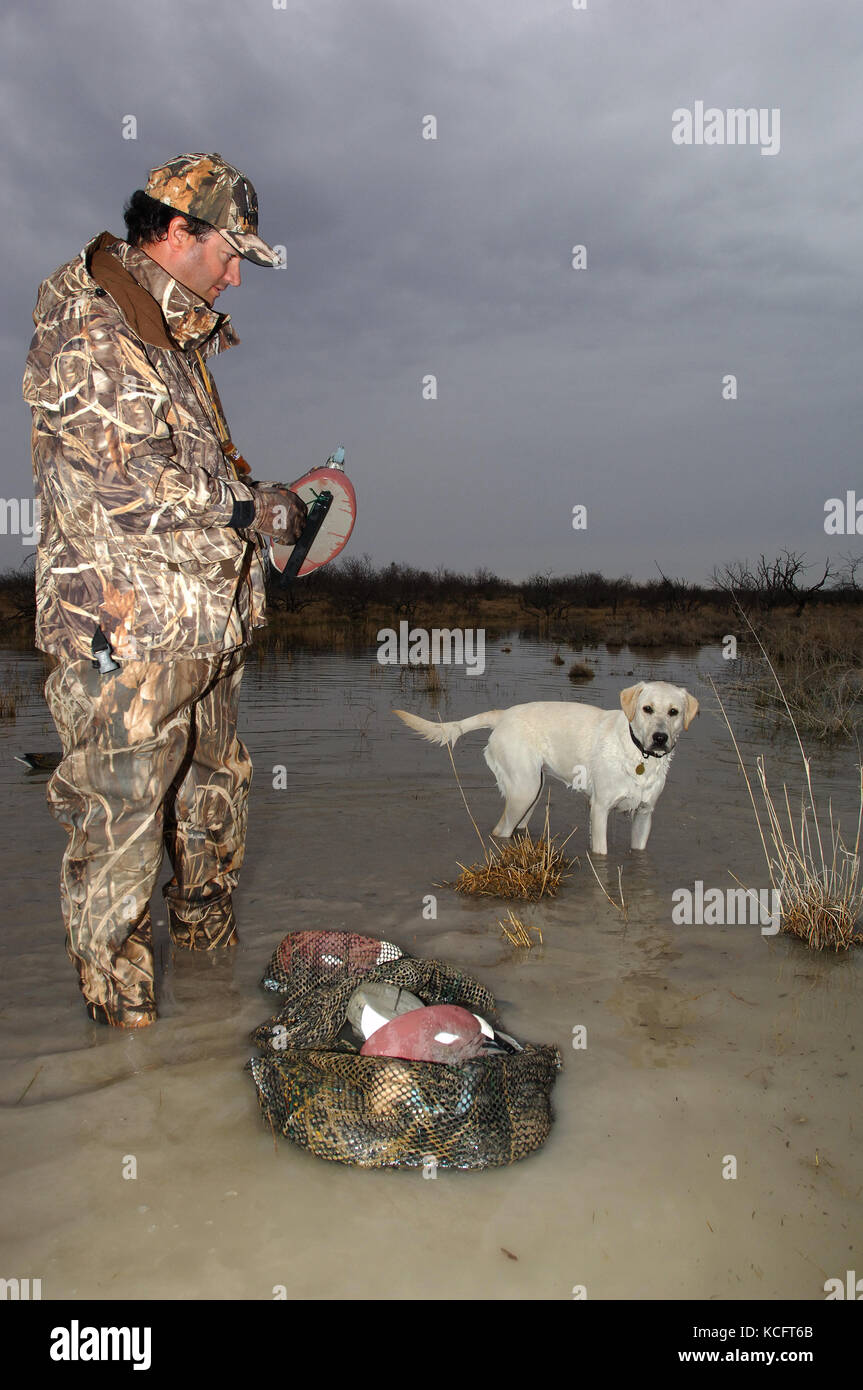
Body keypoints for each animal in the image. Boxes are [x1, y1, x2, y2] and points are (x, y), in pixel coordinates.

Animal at [394, 678, 697, 850]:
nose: (660, 738)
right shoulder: (600, 810)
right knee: (500, 831)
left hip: (532, 791)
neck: (638, 754)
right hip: (524, 790)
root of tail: (503, 715)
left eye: (674, 712)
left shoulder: (644, 815)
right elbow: (601, 852)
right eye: (647, 709)